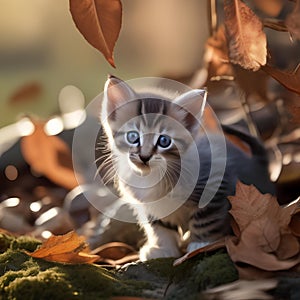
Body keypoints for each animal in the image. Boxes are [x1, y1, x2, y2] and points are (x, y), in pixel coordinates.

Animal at [99, 75, 274, 260]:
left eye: (164, 141)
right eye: (133, 137)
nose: (144, 157)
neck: (154, 175)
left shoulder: (215, 185)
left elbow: (206, 219)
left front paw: (202, 244)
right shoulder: (149, 205)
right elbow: (159, 226)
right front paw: (163, 248)